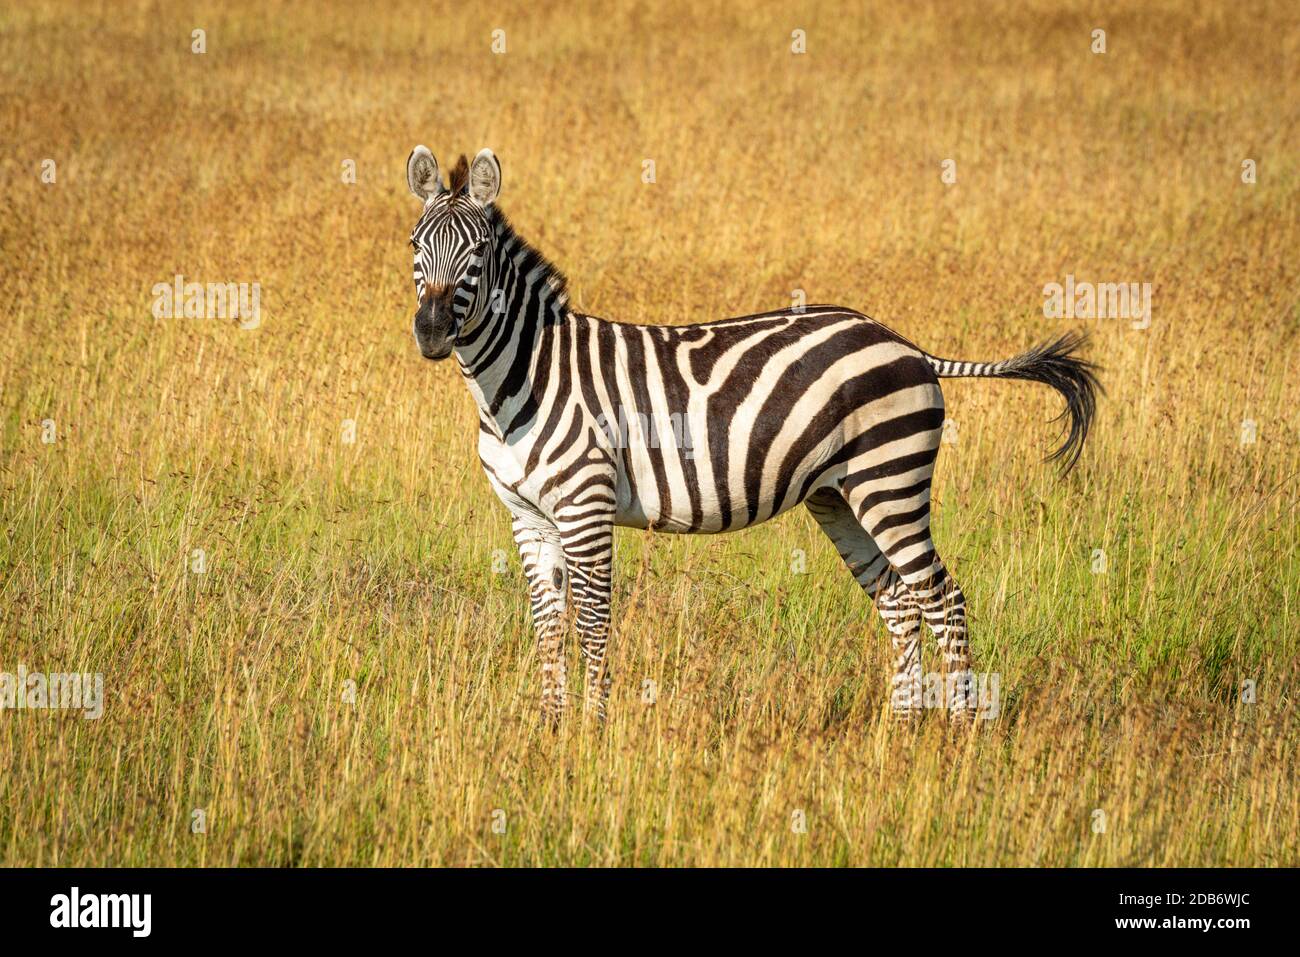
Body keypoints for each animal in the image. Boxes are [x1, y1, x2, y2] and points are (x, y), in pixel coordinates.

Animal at [405, 145, 1097, 722]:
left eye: (474, 256)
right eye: (415, 249)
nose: (432, 333)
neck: (522, 380)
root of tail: (907, 345)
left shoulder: (585, 507)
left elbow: (594, 623)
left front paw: (591, 734)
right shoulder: (527, 515)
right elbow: (548, 626)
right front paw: (549, 731)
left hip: (890, 481)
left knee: (943, 600)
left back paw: (959, 733)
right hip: (840, 496)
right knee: (901, 605)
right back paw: (901, 735)